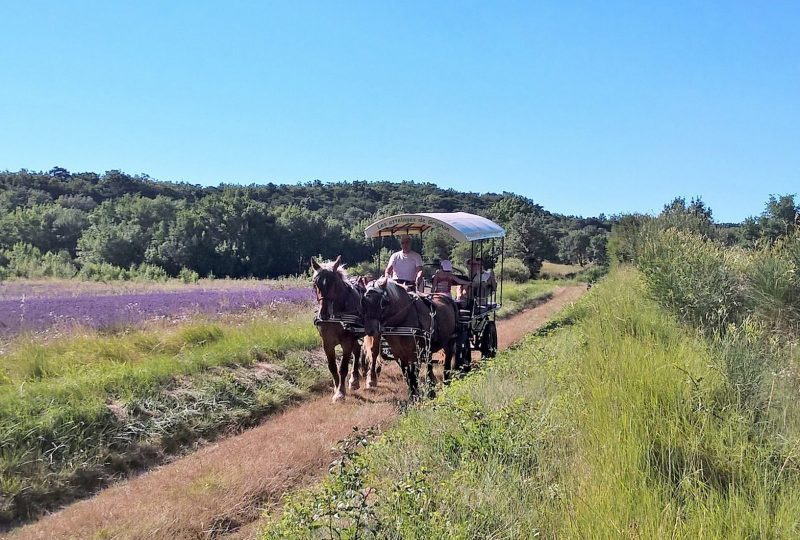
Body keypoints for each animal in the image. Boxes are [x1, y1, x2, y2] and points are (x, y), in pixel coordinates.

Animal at [310, 256, 380, 400]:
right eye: (315, 284)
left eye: (334, 283)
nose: (323, 314)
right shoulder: (327, 343)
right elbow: (332, 367)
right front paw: (336, 388)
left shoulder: (347, 341)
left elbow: (342, 367)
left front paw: (340, 393)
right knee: (358, 350)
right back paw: (354, 380)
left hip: (374, 333)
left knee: (373, 352)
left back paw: (371, 379)